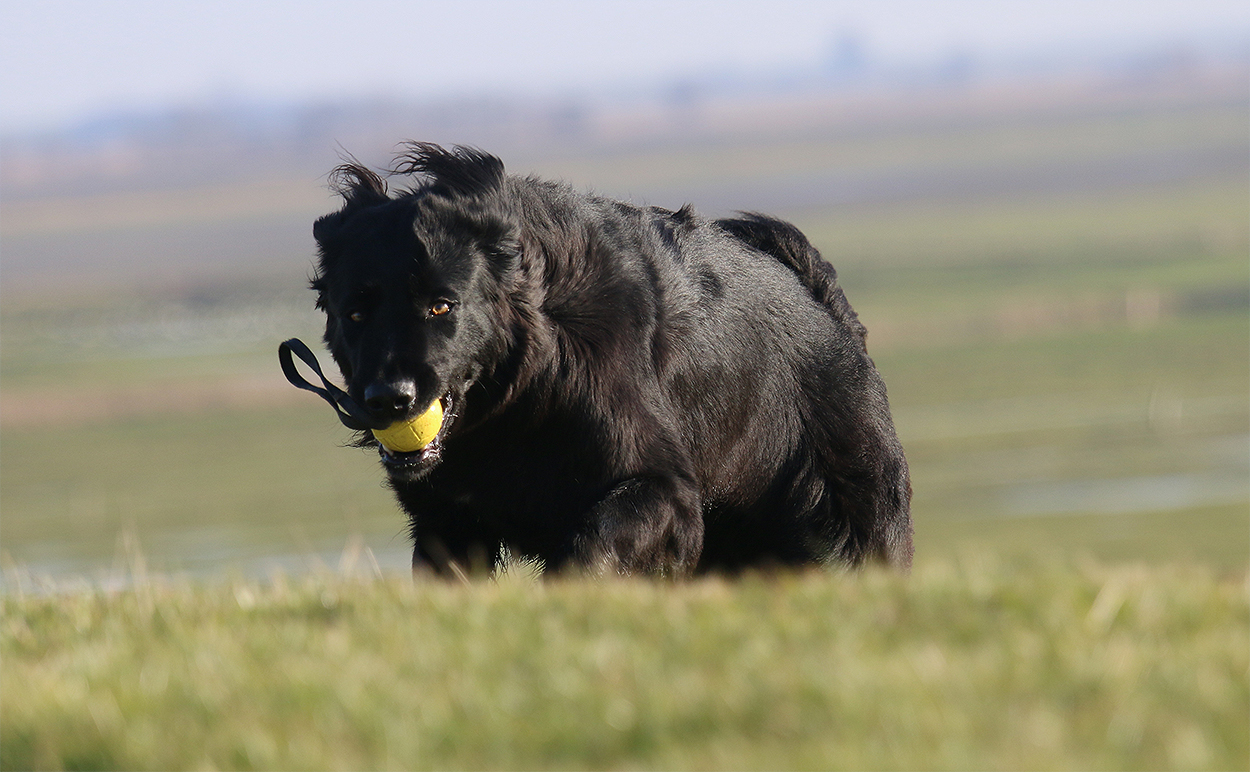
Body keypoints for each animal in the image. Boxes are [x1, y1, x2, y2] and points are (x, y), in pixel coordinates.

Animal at [305, 143, 912, 577]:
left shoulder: (661, 487)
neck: (518, 396)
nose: (389, 399)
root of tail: (829, 311)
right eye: (354, 313)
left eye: (441, 305)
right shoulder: (446, 520)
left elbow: (592, 543)